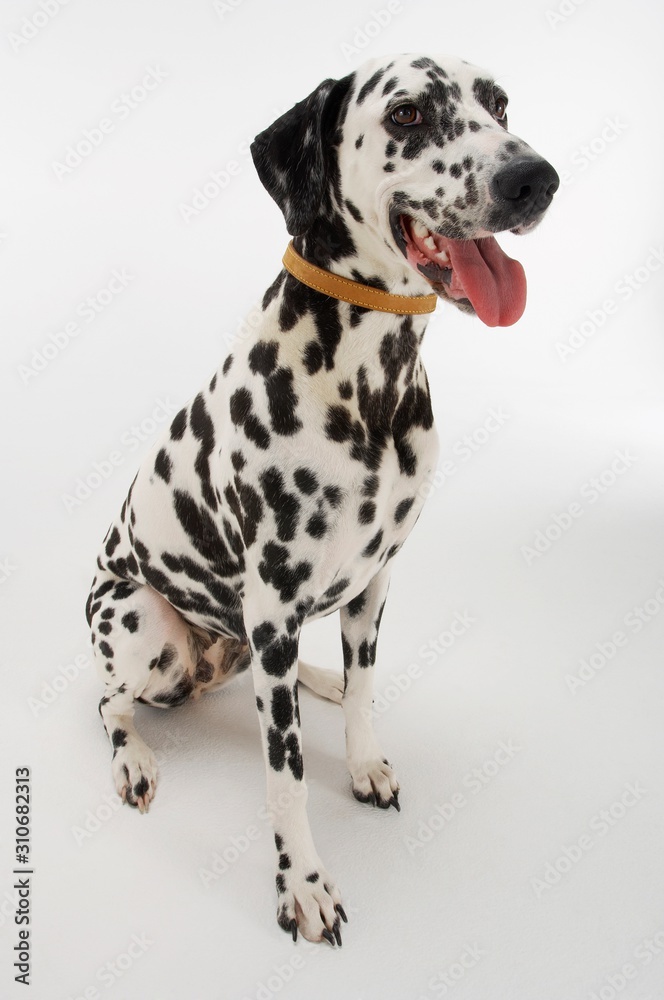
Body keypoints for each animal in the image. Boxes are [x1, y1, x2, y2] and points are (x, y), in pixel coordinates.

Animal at [85, 52, 556, 944]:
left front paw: (363, 757)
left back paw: (319, 680)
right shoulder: (271, 605)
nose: (534, 179)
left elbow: (366, 689)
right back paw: (135, 761)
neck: (369, 385)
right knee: (110, 704)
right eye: (407, 114)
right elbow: (286, 775)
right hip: (142, 630)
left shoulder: (373, 581)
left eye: (499, 102)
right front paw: (301, 884)